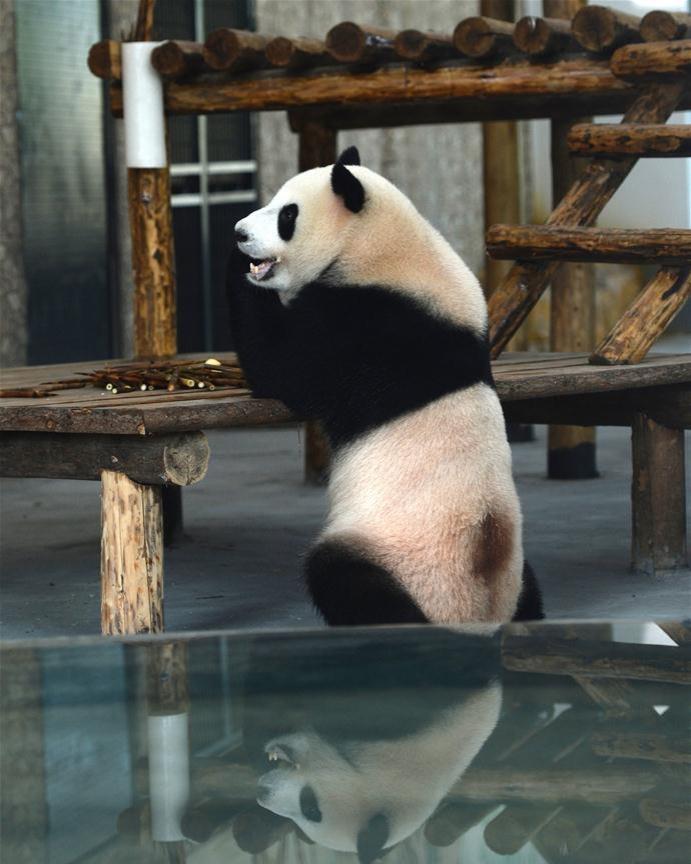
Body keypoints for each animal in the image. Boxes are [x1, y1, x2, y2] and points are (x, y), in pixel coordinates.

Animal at [230, 145, 544, 624]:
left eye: (287, 214)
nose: (240, 233)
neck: (380, 246)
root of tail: (483, 612)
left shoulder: (363, 320)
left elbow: (280, 368)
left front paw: (239, 272)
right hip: (513, 563)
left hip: (399, 557)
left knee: (345, 578)